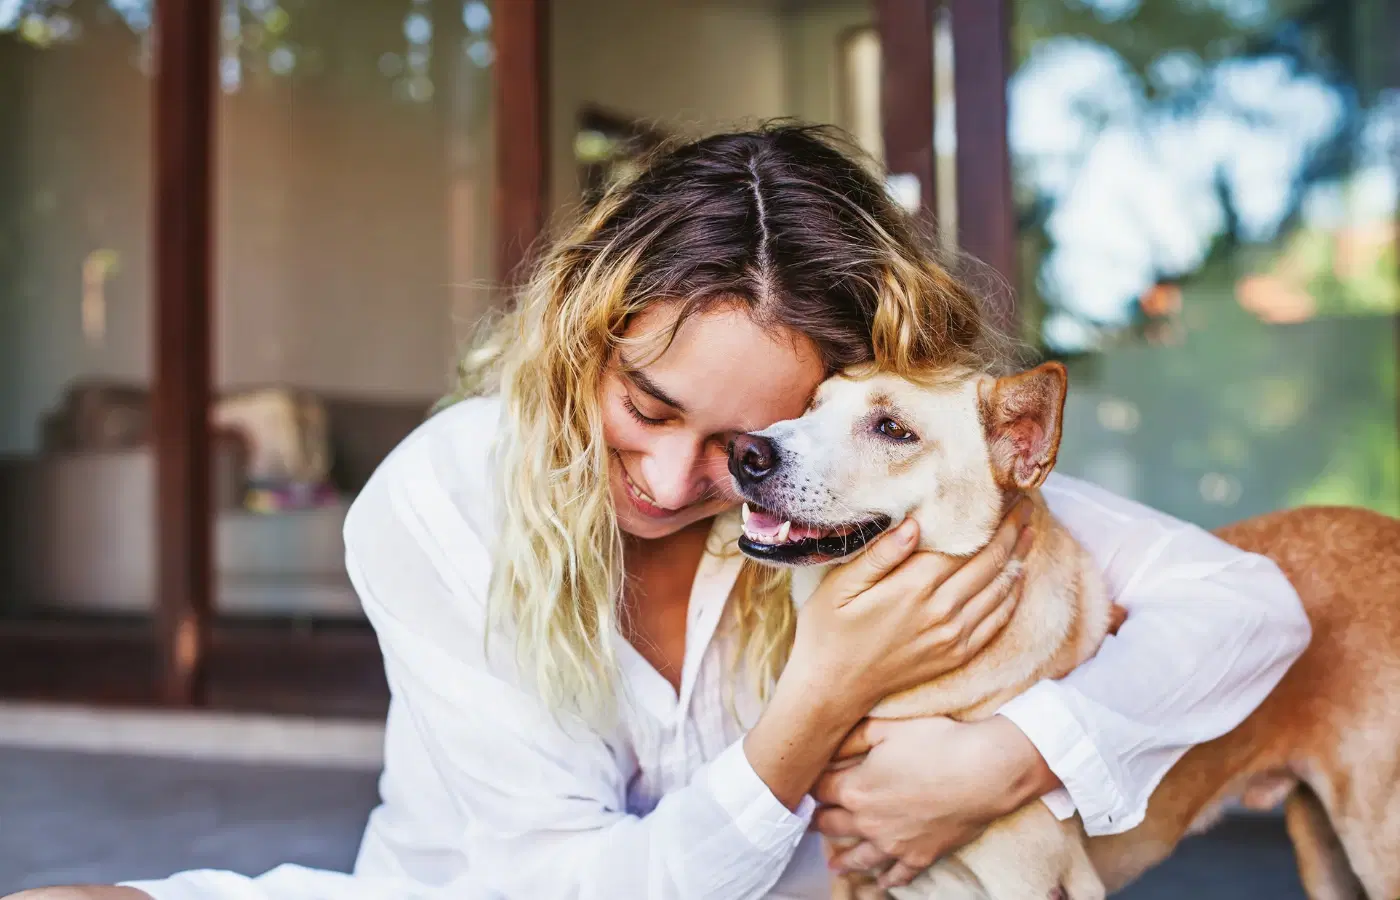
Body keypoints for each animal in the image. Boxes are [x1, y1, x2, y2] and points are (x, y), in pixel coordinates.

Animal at [733, 363, 1400, 900]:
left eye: (893, 430)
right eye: (811, 406)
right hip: (1324, 851)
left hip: (1375, 845)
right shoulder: (858, 880)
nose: (747, 451)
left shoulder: (1038, 883)